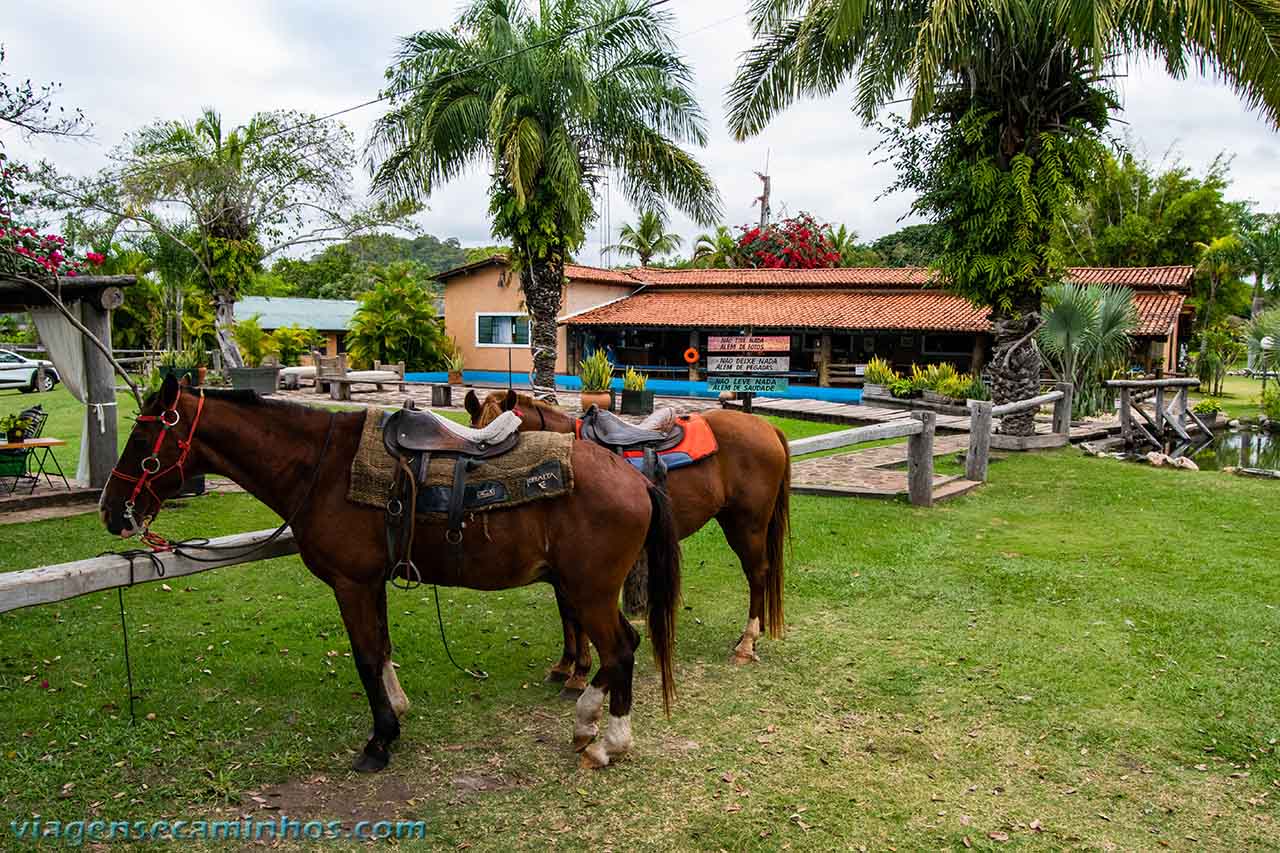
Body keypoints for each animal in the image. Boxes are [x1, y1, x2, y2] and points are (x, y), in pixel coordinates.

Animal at [101, 376, 686, 768]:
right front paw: (397, 710)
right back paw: (588, 724)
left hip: (589, 590)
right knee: (623, 648)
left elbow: (364, 657)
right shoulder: (370, 582)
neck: (323, 466)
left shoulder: (351, 583)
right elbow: (380, 648)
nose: (111, 511)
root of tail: (634, 479)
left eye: (142, 441)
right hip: (587, 589)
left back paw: (609, 741)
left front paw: (380, 739)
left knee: (621, 650)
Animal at [471, 389, 788, 686]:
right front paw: (565, 665)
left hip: (747, 525)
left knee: (757, 574)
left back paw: (747, 643)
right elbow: (566, 612)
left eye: (499, 441)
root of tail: (767, 427)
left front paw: (579, 672)